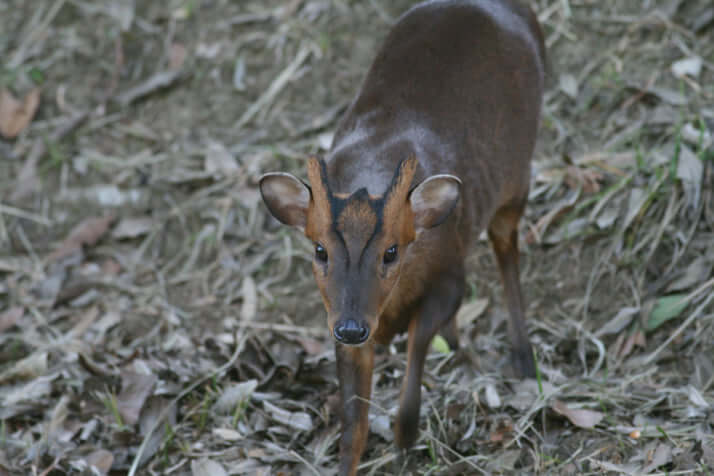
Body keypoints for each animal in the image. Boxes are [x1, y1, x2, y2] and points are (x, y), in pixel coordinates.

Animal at [258, 0, 544, 472]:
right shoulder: (338, 318)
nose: (352, 327)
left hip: (517, 174)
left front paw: (405, 433)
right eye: (320, 250)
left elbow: (418, 340)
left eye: (391, 252)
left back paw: (522, 355)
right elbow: (353, 425)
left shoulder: (450, 276)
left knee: (507, 247)